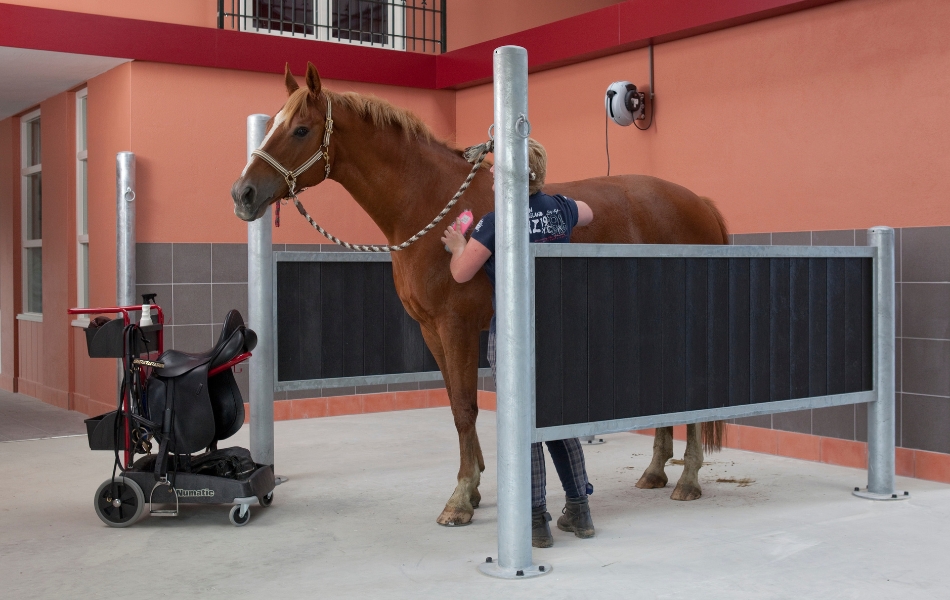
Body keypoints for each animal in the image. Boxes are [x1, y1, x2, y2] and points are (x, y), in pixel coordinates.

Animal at [231, 62, 728, 526]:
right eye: (271, 124)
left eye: (300, 129)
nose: (243, 194)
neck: (429, 205)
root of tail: (700, 203)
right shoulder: (431, 329)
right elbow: (456, 404)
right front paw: (471, 488)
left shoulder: (457, 326)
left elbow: (466, 407)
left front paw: (460, 498)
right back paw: (655, 471)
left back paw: (687, 480)